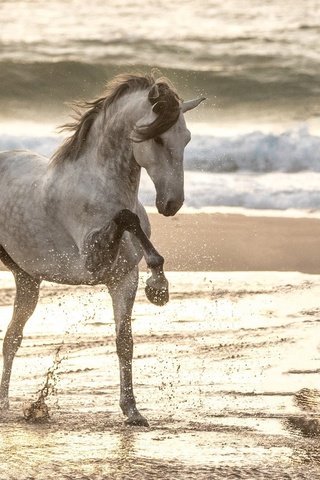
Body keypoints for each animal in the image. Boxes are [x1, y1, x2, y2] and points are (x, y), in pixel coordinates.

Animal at [0, 73, 205, 426]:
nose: (171, 204)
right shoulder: (92, 261)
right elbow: (127, 218)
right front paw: (159, 286)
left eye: (187, 138)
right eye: (157, 139)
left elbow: (124, 342)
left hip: (27, 280)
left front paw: (132, 411)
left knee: (12, 337)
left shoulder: (122, 279)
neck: (98, 186)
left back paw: (3, 404)